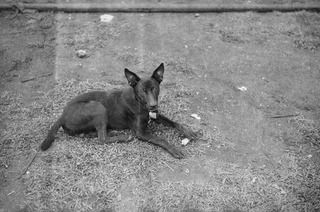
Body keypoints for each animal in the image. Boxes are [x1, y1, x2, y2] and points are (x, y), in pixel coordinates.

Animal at [40, 63, 195, 158]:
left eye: (154, 89)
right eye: (142, 91)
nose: (153, 106)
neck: (139, 102)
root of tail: (61, 115)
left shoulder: (155, 115)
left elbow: (175, 122)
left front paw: (189, 131)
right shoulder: (140, 132)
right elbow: (161, 139)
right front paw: (174, 149)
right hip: (97, 107)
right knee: (101, 139)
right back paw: (122, 137)